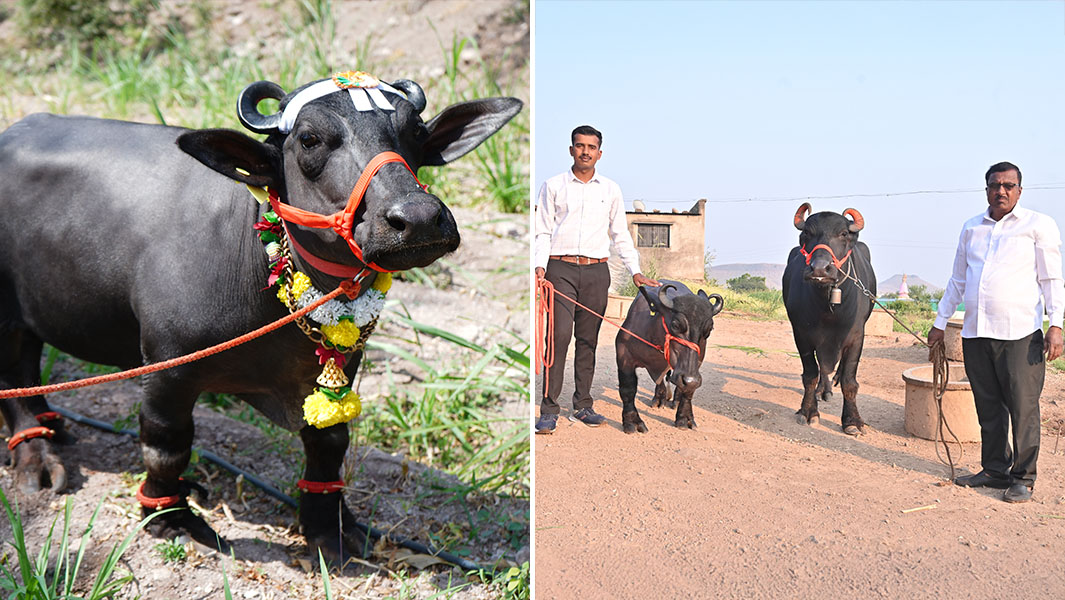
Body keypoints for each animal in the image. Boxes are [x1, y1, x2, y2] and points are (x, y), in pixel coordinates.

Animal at [0, 72, 521, 562]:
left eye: (414, 132)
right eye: (310, 139)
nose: (418, 218)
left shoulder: (339, 367)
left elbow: (329, 443)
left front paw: (328, 526)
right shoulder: (167, 370)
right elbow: (166, 446)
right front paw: (171, 518)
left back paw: (51, 424)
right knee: (14, 375)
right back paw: (36, 453)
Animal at [616, 281, 724, 432]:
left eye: (709, 329)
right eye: (676, 325)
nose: (690, 379)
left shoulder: (696, 364)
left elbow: (688, 391)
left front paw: (684, 418)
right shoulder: (623, 355)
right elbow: (628, 388)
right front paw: (632, 421)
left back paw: (675, 400)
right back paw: (659, 398)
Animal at [782, 203, 875, 435]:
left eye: (843, 233)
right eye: (807, 233)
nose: (819, 268)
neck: (827, 307)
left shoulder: (856, 336)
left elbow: (850, 381)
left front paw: (852, 420)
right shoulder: (802, 335)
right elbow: (811, 374)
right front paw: (808, 411)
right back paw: (822, 391)